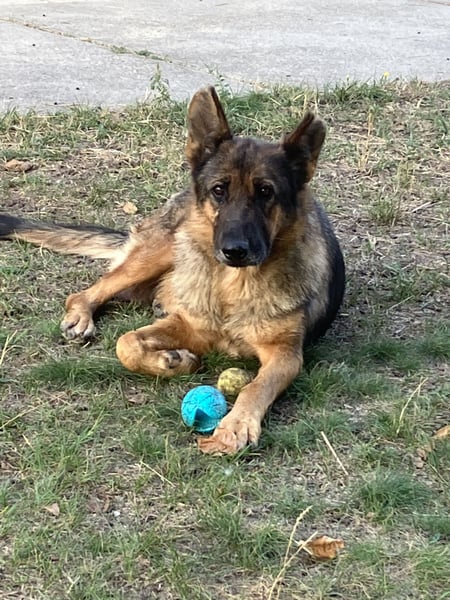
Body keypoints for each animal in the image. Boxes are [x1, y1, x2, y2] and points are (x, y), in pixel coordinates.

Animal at [0, 87, 345, 454]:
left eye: (266, 192)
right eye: (219, 190)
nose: (234, 250)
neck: (231, 287)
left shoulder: (285, 356)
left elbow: (254, 387)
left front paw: (235, 425)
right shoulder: (189, 328)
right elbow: (126, 342)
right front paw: (174, 361)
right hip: (168, 246)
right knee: (90, 290)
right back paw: (82, 315)